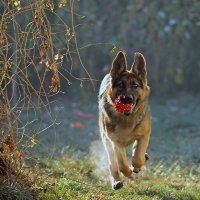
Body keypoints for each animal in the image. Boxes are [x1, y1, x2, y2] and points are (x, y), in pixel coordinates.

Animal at [97, 51, 151, 189]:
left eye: (135, 85)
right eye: (121, 84)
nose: (127, 99)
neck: (126, 119)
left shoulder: (145, 134)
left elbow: (138, 158)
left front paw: (136, 166)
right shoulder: (115, 142)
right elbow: (121, 164)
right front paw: (129, 173)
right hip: (107, 142)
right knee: (113, 164)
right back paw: (117, 181)